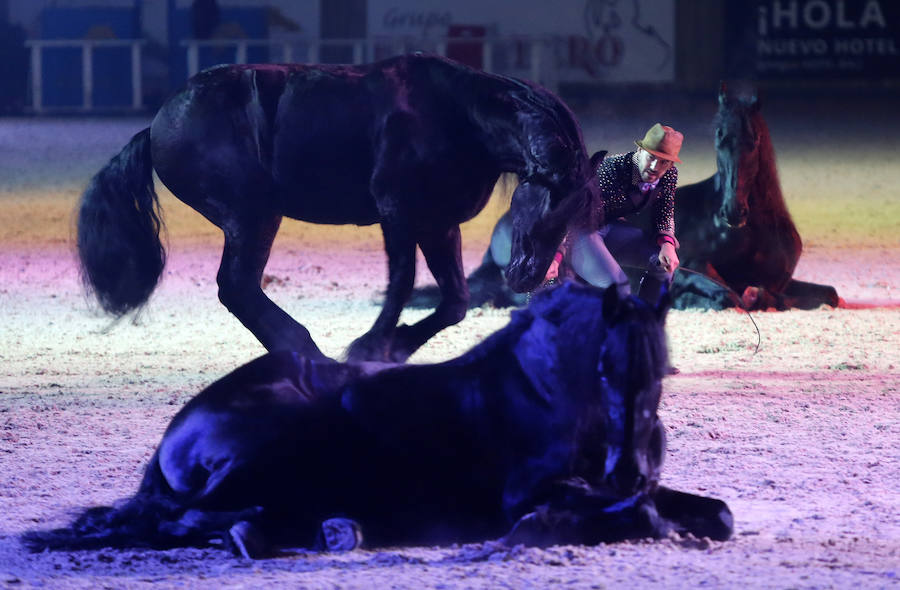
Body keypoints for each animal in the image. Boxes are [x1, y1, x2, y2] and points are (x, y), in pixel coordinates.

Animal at [24, 286, 736, 560]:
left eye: (664, 370)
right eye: (606, 368)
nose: (632, 468)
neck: (546, 391)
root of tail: (178, 434)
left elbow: (719, 513)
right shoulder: (531, 491)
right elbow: (605, 511)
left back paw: (339, 528)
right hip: (275, 447)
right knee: (189, 520)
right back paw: (319, 531)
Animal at [77, 54, 596, 366]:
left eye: (577, 212)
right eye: (551, 202)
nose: (528, 277)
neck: (457, 116)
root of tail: (157, 124)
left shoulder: (439, 223)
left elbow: (455, 301)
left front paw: (396, 347)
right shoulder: (397, 212)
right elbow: (402, 281)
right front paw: (370, 346)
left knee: (240, 289)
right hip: (251, 215)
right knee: (236, 287)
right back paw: (307, 354)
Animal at [412, 86, 840, 314]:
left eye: (753, 140)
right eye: (719, 139)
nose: (731, 213)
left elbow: (824, 295)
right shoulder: (695, 264)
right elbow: (732, 293)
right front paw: (701, 299)